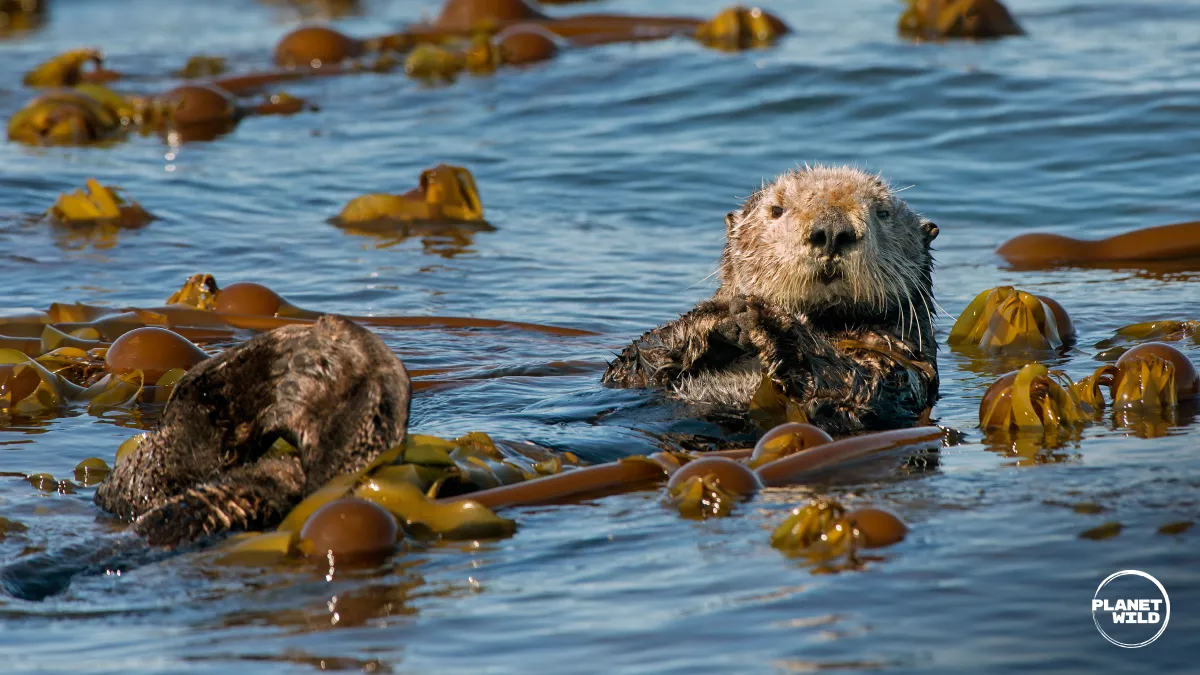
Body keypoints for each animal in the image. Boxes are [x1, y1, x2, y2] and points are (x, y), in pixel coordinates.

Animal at [602, 165, 940, 434]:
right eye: (777, 209)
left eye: (883, 212)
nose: (832, 230)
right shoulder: (630, 379)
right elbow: (629, 367)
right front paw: (717, 316)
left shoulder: (899, 365)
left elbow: (855, 387)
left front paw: (763, 316)